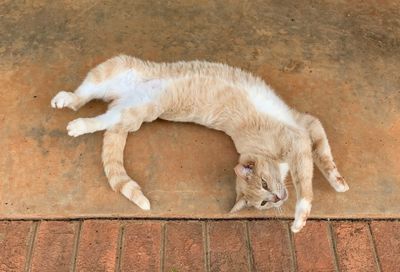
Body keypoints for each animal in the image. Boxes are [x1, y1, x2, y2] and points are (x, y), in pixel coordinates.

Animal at [51, 54, 348, 232]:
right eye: (263, 194)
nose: (276, 198)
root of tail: (121, 98)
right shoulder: (297, 143)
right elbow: (304, 183)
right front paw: (300, 217)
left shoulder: (309, 125)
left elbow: (324, 156)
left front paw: (338, 182)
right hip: (126, 92)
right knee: (91, 110)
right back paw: (77, 122)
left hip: (122, 89)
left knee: (88, 104)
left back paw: (68, 104)